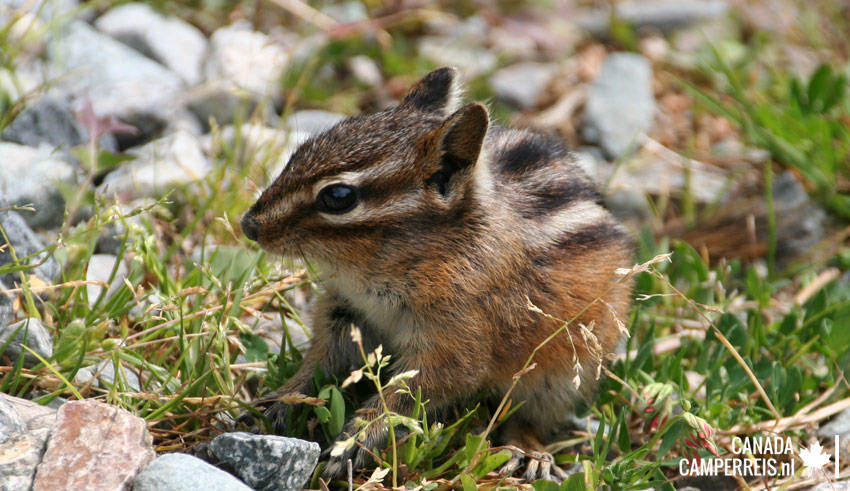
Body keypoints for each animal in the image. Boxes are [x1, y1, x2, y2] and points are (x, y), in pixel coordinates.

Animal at [241, 67, 633, 482]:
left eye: (339, 197)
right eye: (298, 152)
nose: (249, 225)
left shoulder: (457, 339)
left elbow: (413, 393)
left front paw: (355, 440)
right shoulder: (345, 313)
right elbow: (318, 363)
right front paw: (279, 401)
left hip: (565, 377)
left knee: (527, 417)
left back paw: (530, 451)